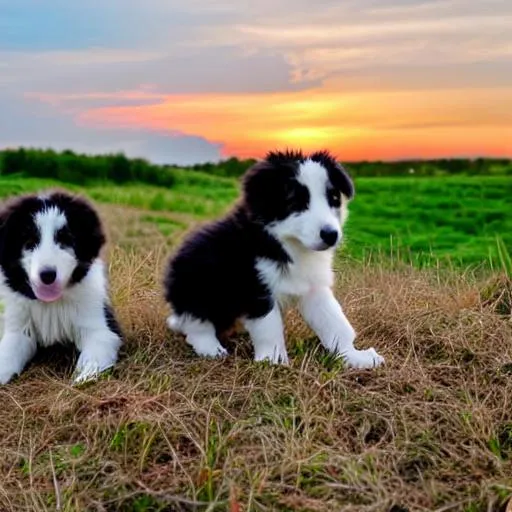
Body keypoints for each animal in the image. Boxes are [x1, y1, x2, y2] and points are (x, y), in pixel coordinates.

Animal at [0, 191, 123, 384]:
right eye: (29, 242)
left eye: (65, 239)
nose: (47, 275)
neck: (51, 304)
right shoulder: (18, 329)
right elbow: (6, 356)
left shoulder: (100, 327)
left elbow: (94, 355)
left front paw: (81, 379)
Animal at [164, 150, 384, 370]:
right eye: (294, 201)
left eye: (334, 199)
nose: (331, 235)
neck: (285, 243)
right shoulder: (256, 288)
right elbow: (269, 328)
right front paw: (273, 361)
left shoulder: (313, 287)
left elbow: (334, 322)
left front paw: (354, 356)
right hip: (193, 283)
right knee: (196, 324)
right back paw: (210, 348)